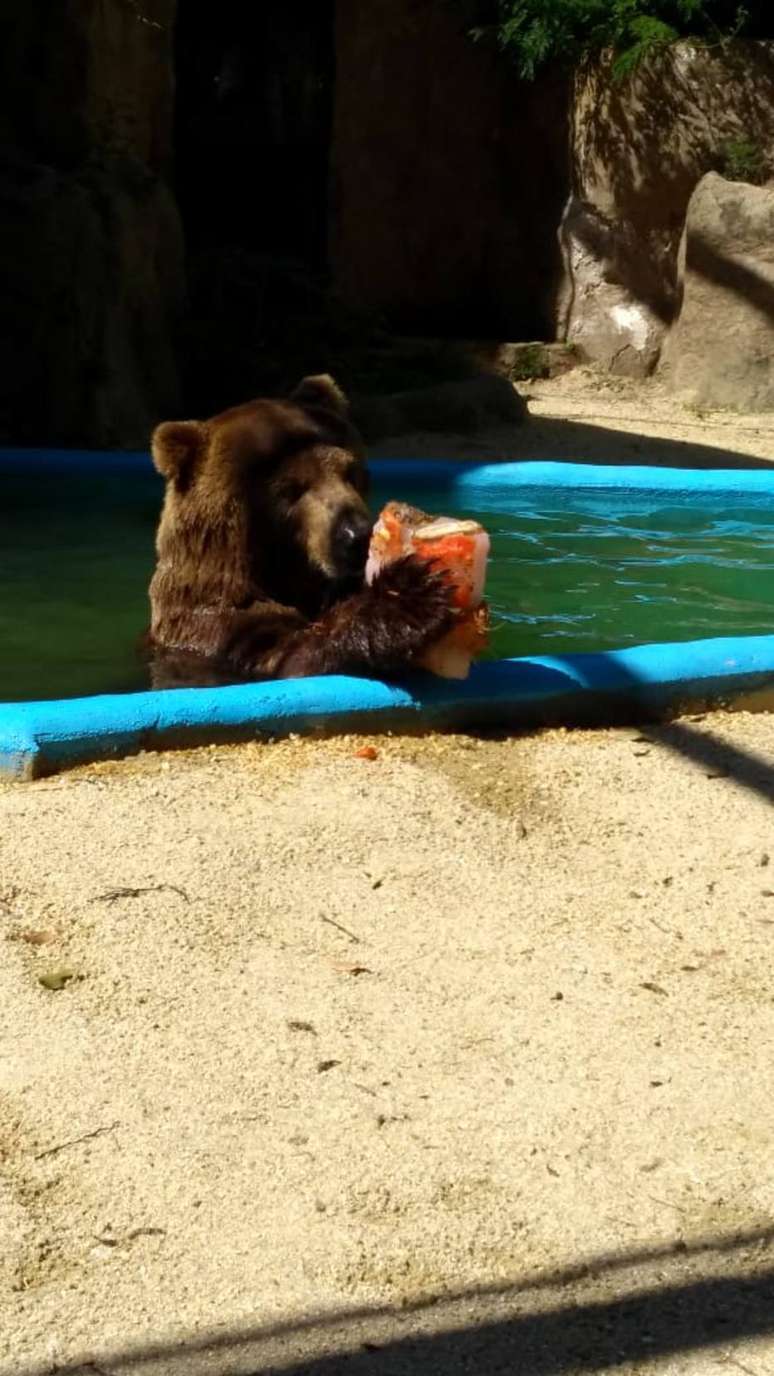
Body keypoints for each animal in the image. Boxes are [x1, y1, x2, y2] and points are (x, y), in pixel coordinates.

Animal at [147, 374, 454, 685]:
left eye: (349, 471)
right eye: (290, 490)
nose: (356, 534)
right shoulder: (220, 628)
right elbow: (292, 656)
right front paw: (410, 591)